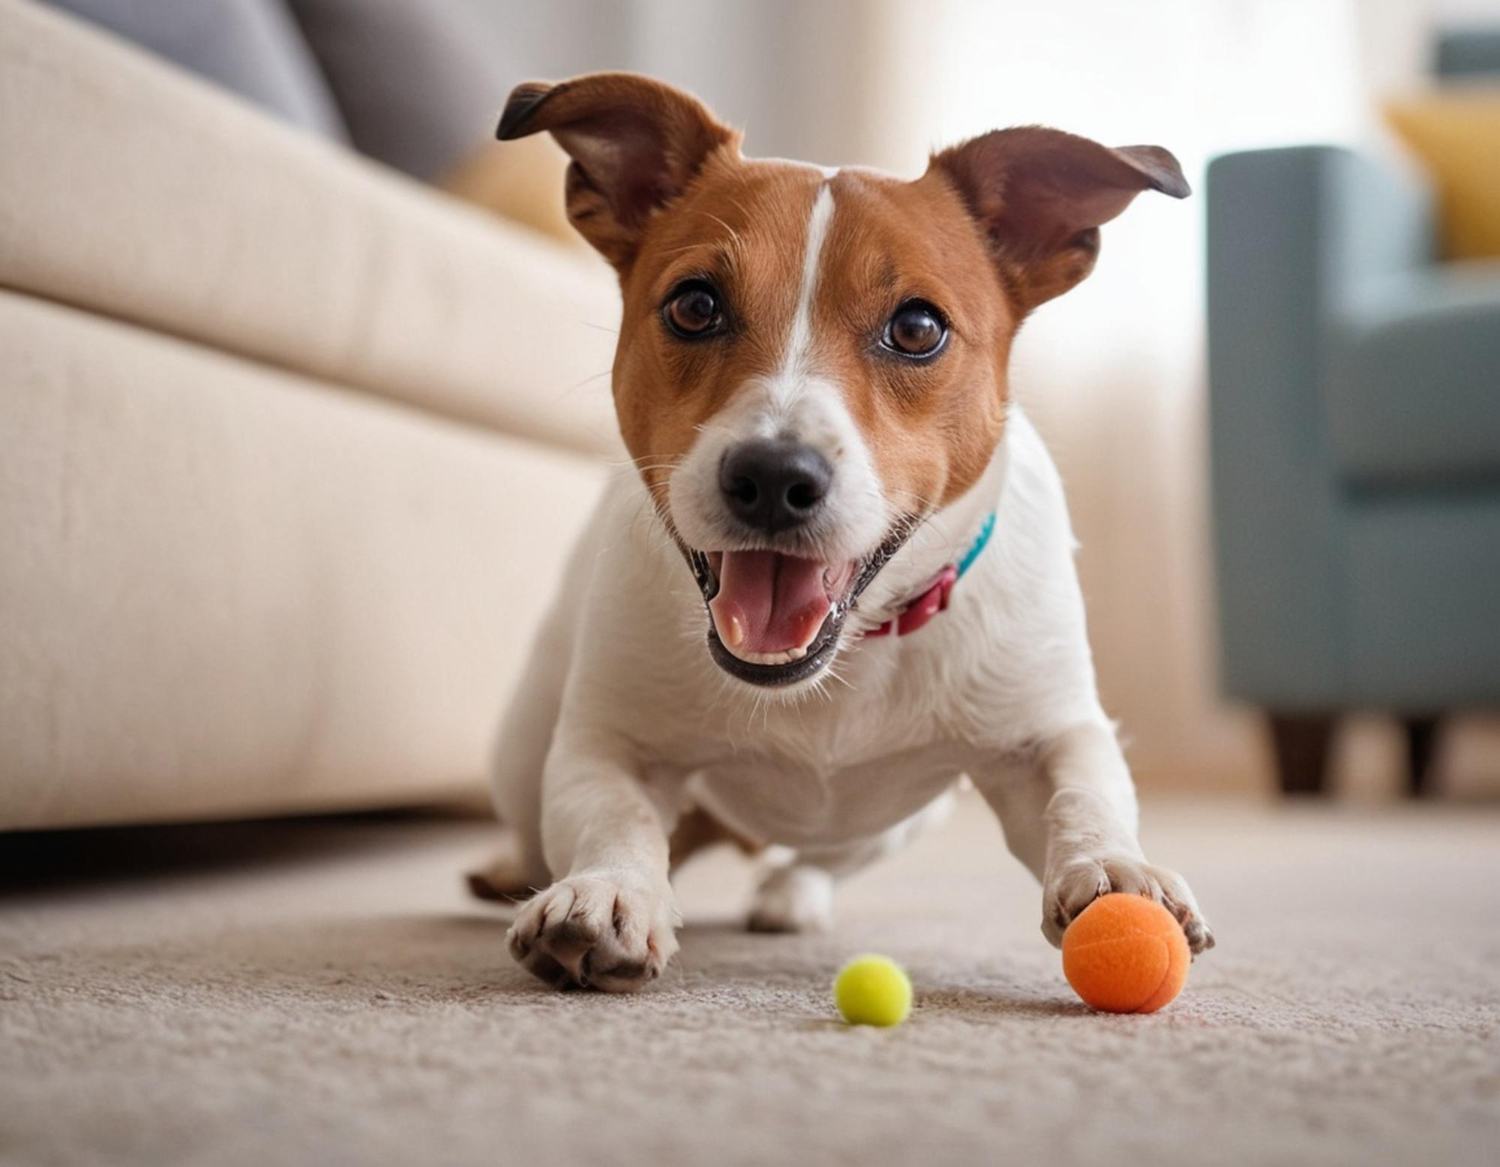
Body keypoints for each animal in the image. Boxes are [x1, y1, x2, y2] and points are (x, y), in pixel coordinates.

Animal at [474, 68, 1212, 984]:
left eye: (918, 327)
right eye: (694, 305)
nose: (772, 478)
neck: (841, 662)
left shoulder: (1049, 735)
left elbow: (1084, 793)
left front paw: (1115, 869)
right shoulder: (606, 745)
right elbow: (617, 816)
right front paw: (607, 889)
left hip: (903, 819)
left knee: (826, 855)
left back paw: (792, 892)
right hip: (523, 742)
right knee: (534, 816)